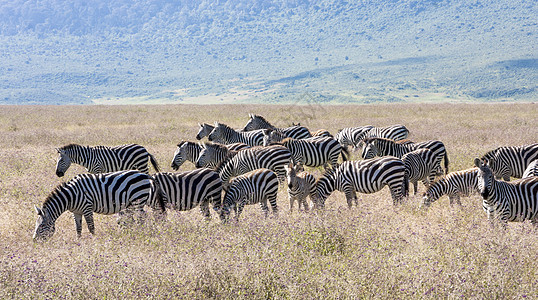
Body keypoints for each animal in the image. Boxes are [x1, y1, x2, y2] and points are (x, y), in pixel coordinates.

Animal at [33, 170, 163, 243]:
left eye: (42, 225)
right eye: (36, 224)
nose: (34, 241)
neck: (71, 196)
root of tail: (145, 175)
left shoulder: (87, 208)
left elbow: (91, 227)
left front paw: (94, 241)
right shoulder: (76, 212)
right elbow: (78, 228)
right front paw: (78, 241)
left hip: (138, 200)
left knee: (143, 217)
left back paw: (141, 232)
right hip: (131, 203)